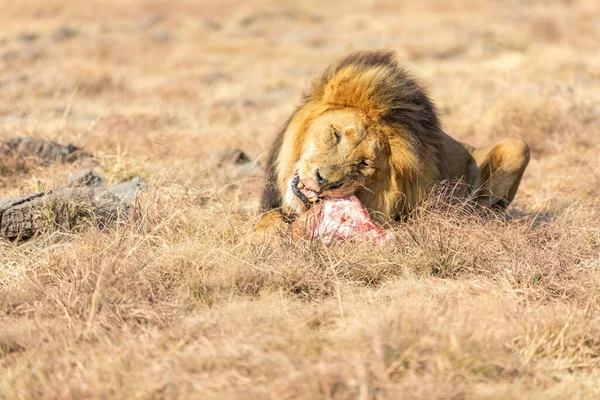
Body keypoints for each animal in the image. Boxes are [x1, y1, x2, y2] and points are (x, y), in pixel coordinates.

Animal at [248, 48, 528, 239]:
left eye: (364, 163)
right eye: (336, 135)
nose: (324, 181)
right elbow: (269, 217)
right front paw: (263, 236)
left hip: (517, 146)